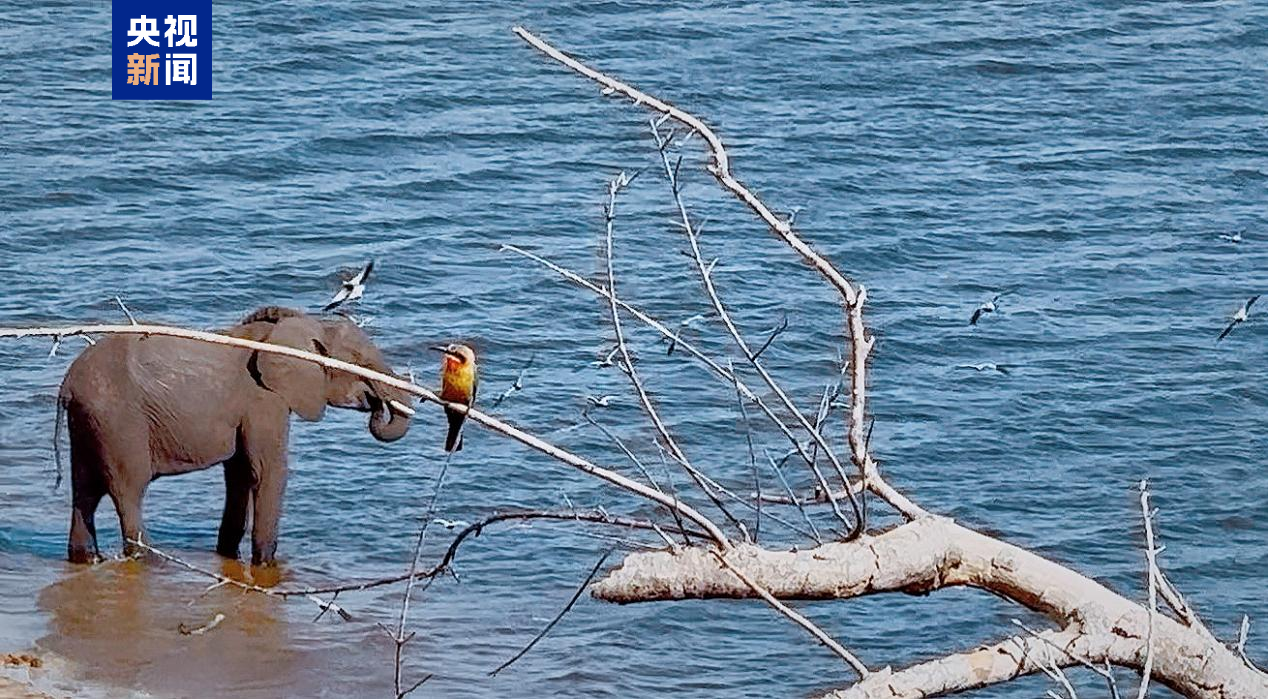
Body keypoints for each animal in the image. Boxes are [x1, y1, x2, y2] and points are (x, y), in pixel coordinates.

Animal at [56, 306, 414, 566]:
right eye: (359, 362)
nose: (376, 405)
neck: (302, 324)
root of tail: (67, 385)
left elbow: (240, 473)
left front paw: (230, 556)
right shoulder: (264, 398)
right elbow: (268, 471)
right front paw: (266, 565)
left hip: (90, 421)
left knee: (84, 492)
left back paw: (87, 559)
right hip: (118, 421)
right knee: (129, 490)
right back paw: (146, 559)